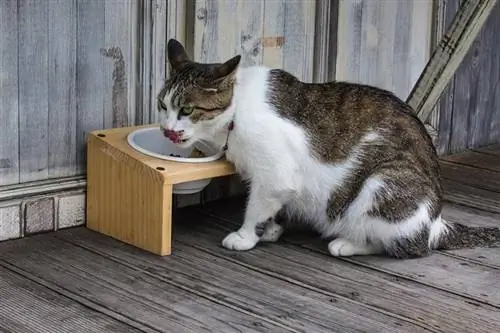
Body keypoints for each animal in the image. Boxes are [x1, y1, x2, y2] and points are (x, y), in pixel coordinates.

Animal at [157, 38, 500, 256]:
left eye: (187, 110)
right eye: (162, 105)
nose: (167, 129)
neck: (237, 110)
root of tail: (436, 222)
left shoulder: (274, 176)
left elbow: (257, 207)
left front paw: (246, 236)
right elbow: (275, 208)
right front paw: (271, 230)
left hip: (382, 182)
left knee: (406, 245)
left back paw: (347, 243)